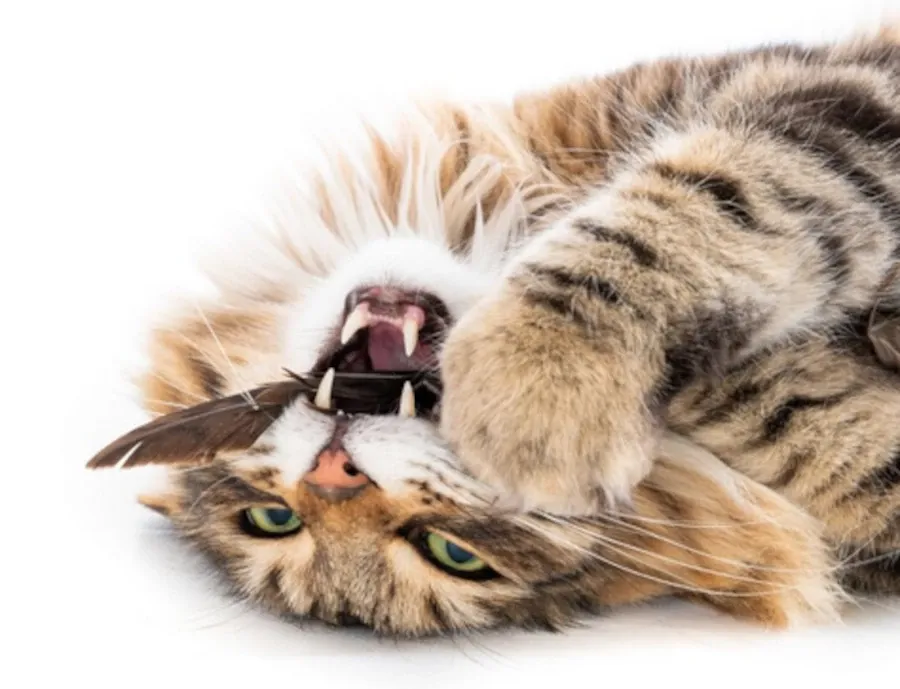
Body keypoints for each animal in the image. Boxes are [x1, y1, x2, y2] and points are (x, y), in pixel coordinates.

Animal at [89, 24, 900, 636]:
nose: (334, 471)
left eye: (448, 553)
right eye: (275, 517)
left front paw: (538, 380)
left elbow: (712, 204)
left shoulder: (830, 99)